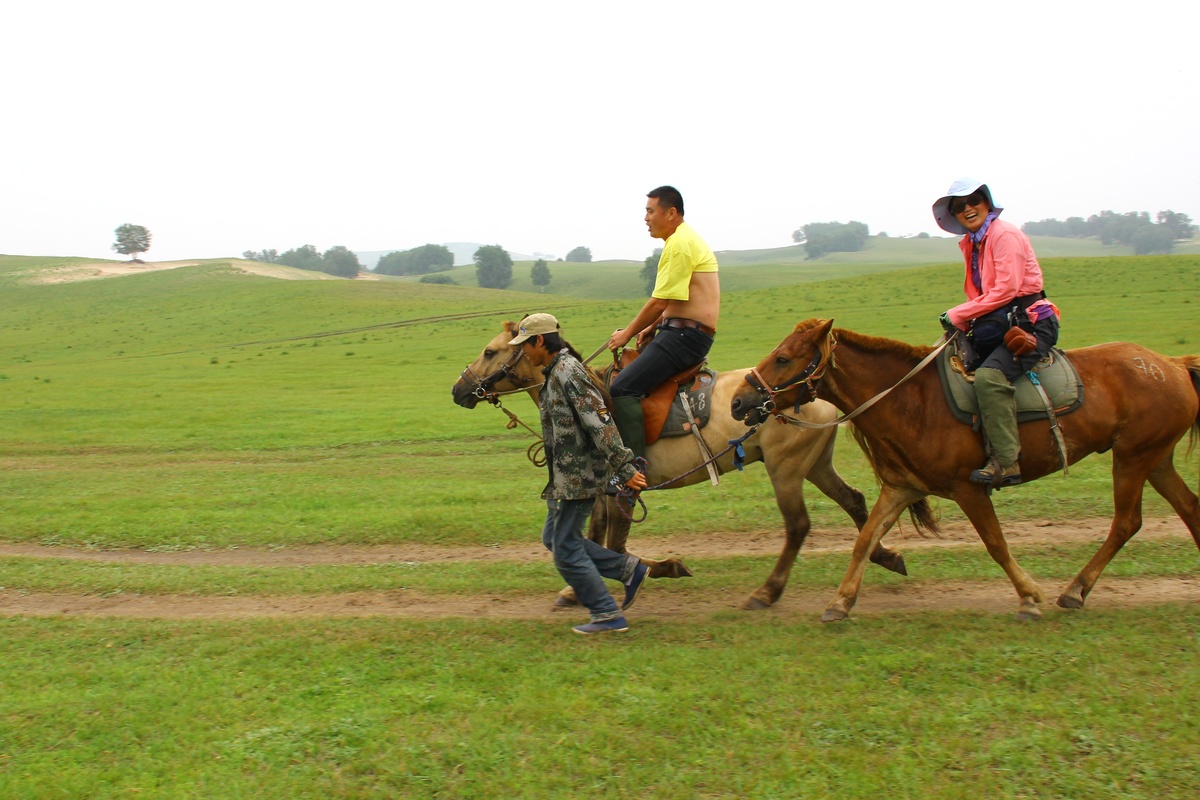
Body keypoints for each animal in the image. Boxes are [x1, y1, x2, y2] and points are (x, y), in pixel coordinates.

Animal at [451, 321, 907, 609]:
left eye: (490, 351)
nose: (458, 389)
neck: (592, 399)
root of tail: (819, 396)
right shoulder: (603, 490)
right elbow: (595, 538)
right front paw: (575, 592)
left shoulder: (623, 488)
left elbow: (615, 545)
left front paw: (664, 568)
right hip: (816, 465)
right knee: (855, 501)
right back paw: (885, 557)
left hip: (787, 470)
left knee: (798, 525)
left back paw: (767, 592)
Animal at [724, 321, 1200, 623]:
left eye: (783, 358)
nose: (738, 401)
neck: (912, 401)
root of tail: (1172, 364)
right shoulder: (900, 488)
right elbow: (864, 541)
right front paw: (841, 602)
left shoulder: (969, 490)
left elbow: (995, 544)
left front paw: (1029, 597)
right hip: (1154, 458)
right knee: (1189, 508)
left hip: (1133, 457)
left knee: (1126, 522)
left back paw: (1074, 590)